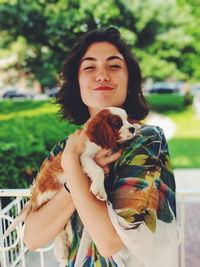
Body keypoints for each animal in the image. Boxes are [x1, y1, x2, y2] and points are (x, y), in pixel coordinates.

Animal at [3, 107, 141, 267]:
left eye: (127, 119)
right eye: (117, 123)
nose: (131, 128)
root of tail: (34, 196)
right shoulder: (84, 157)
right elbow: (98, 170)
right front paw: (99, 191)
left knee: (62, 229)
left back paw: (63, 249)